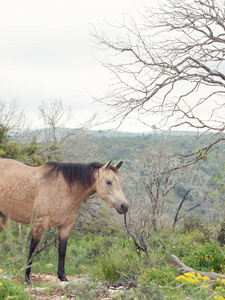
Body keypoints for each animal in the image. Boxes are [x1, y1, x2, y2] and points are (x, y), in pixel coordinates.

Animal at [0, 158, 128, 282]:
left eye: (121, 182)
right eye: (108, 182)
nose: (124, 206)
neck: (65, 189)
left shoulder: (66, 225)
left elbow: (62, 250)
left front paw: (62, 276)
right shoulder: (40, 223)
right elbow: (32, 248)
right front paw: (26, 278)